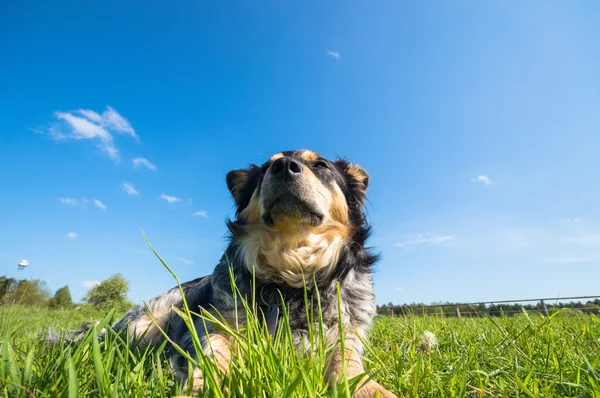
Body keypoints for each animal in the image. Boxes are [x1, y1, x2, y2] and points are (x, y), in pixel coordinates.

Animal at [110, 150, 396, 398]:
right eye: (265, 168)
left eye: (321, 165)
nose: (283, 166)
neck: (290, 275)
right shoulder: (214, 323)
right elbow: (215, 347)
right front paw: (207, 386)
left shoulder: (344, 334)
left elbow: (349, 366)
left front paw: (374, 391)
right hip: (141, 324)